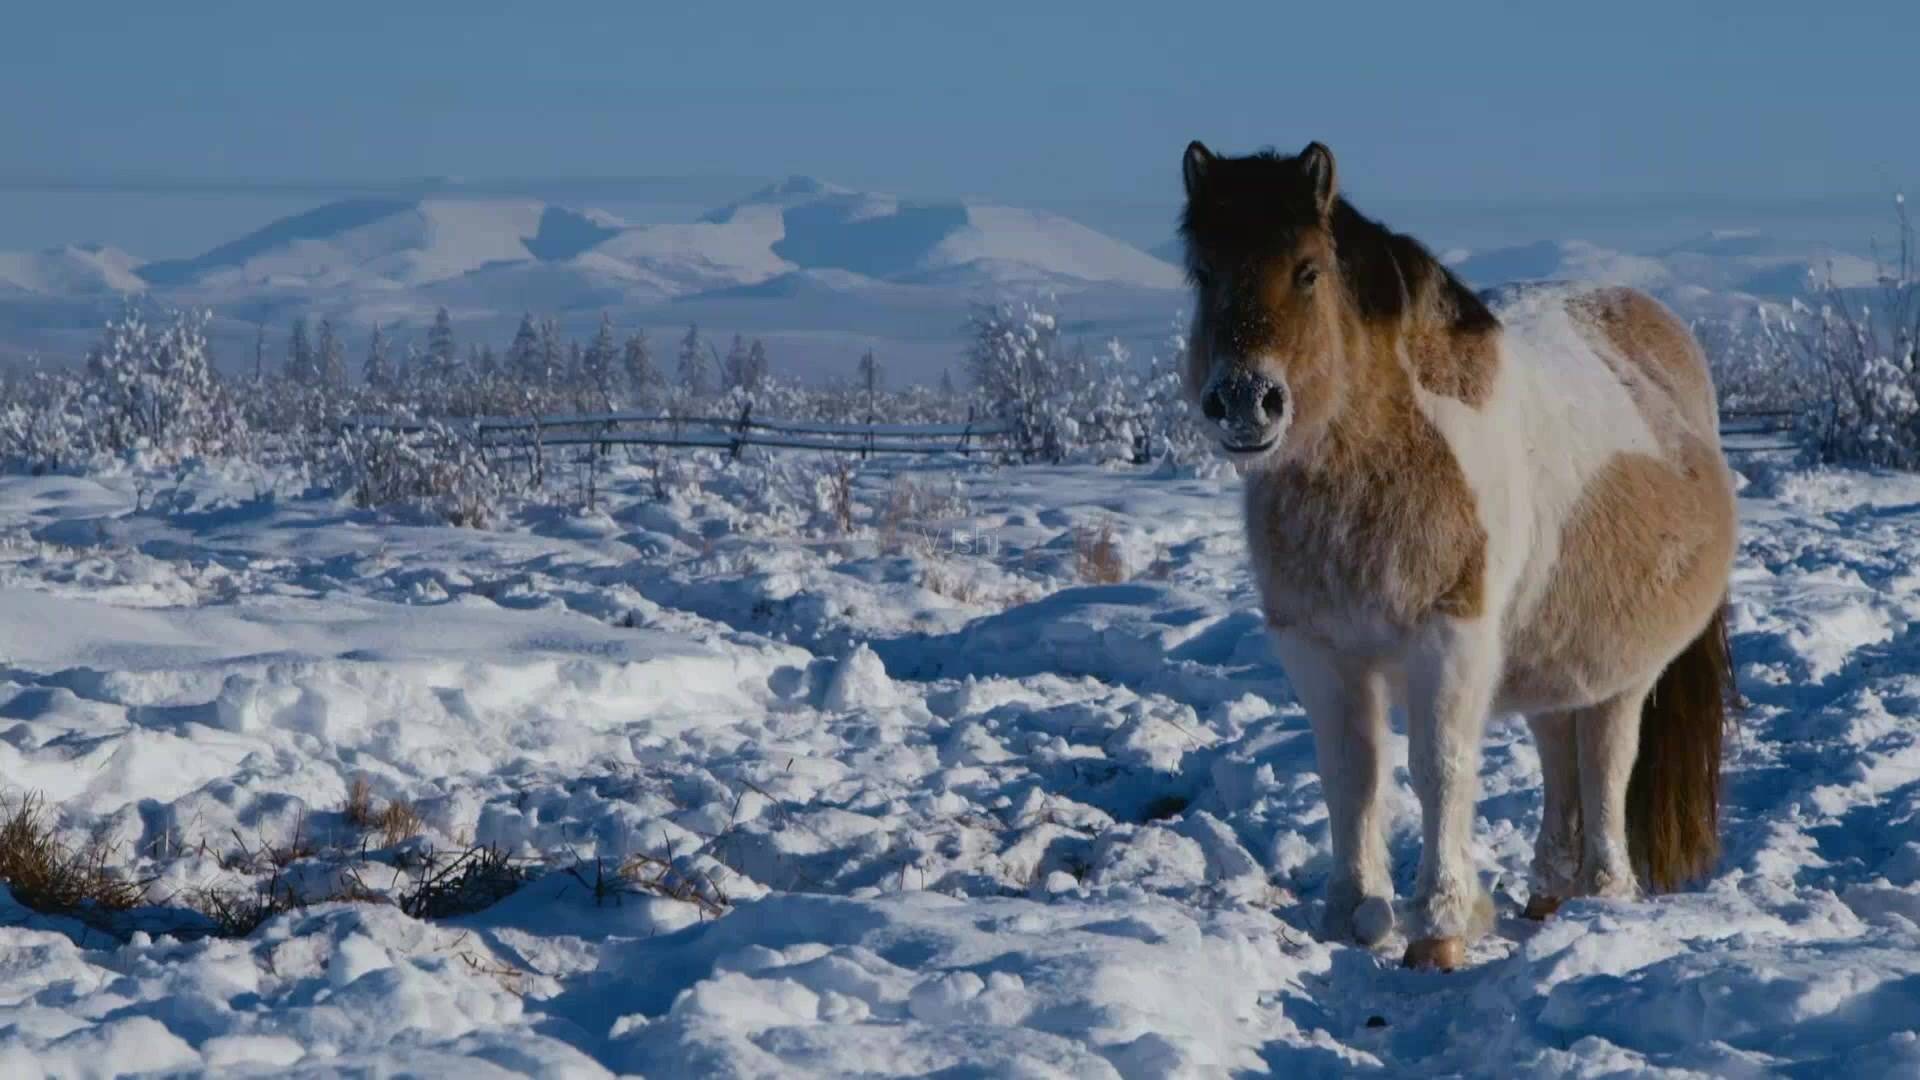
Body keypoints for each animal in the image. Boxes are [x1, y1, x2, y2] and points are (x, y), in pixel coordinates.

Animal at [1175, 136, 1751, 968]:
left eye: (1308, 270)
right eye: (1203, 272)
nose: (1246, 402)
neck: (1382, 461)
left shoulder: (1450, 637)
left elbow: (1438, 768)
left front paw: (1439, 928)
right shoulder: (1318, 647)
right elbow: (1351, 773)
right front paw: (1354, 914)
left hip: (1626, 669)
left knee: (1605, 762)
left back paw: (1603, 893)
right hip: (1552, 652)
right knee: (1558, 753)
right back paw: (1548, 893)